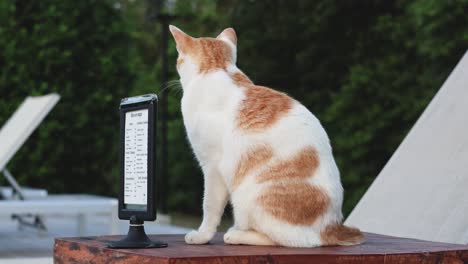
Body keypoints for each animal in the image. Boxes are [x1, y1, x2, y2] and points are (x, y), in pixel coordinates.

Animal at [170, 25, 364, 248]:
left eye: (178, 60)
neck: (218, 68)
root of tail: (332, 226)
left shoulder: (212, 168)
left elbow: (209, 207)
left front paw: (202, 236)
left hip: (248, 196)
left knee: (287, 240)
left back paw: (236, 234)